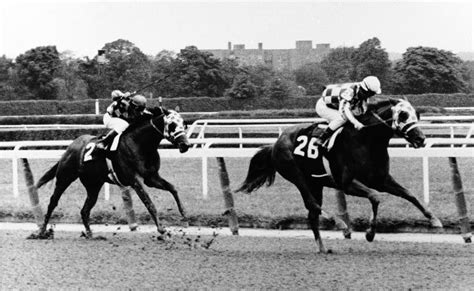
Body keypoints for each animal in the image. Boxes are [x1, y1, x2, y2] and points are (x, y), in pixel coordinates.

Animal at [27, 106, 190, 240]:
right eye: (172, 124)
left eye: (184, 124)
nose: (185, 145)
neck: (140, 143)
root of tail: (71, 147)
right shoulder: (135, 180)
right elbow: (149, 203)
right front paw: (162, 230)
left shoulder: (151, 177)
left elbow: (173, 188)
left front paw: (184, 214)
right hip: (64, 178)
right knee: (53, 202)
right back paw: (41, 231)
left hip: (93, 185)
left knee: (85, 210)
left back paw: (90, 234)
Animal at [239, 99, 442, 254]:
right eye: (403, 115)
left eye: (417, 114)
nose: (421, 139)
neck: (366, 139)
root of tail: (275, 143)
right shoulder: (346, 183)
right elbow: (375, 196)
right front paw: (369, 233)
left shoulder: (381, 179)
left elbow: (409, 194)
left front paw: (434, 220)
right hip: (296, 175)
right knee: (313, 204)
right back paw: (340, 225)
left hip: (316, 182)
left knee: (312, 213)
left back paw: (322, 248)